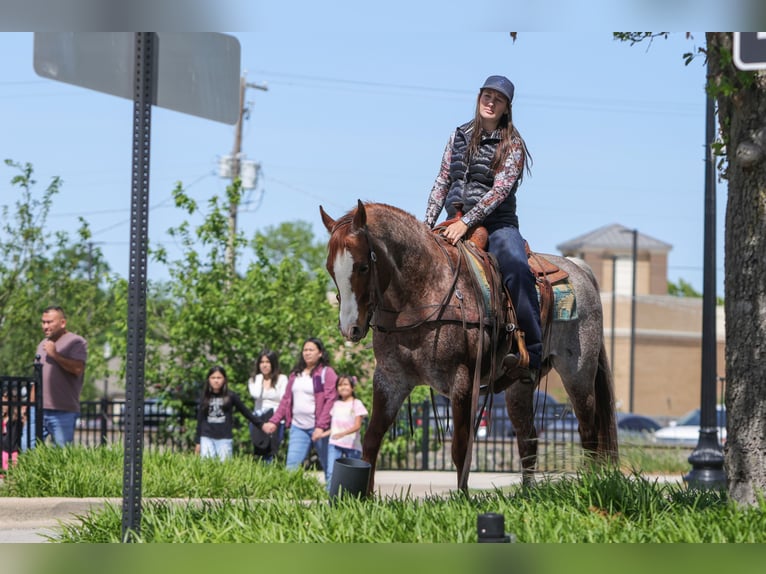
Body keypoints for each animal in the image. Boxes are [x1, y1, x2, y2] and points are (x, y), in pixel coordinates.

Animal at [320, 200, 618, 495]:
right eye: (330, 268)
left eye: (362, 267)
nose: (350, 328)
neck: (423, 293)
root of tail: (579, 269)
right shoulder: (390, 378)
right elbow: (372, 439)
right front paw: (364, 498)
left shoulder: (462, 379)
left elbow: (461, 447)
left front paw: (462, 499)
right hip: (520, 386)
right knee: (528, 438)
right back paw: (527, 494)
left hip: (578, 373)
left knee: (588, 431)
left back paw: (590, 485)